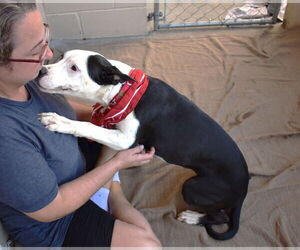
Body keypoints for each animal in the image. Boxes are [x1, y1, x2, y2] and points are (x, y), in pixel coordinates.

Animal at [36, 49, 250, 240]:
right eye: (60, 57)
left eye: (74, 68)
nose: (41, 71)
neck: (121, 91)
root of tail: (244, 187)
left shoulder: (124, 139)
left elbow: (88, 126)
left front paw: (61, 122)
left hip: (194, 188)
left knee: (221, 216)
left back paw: (193, 217)